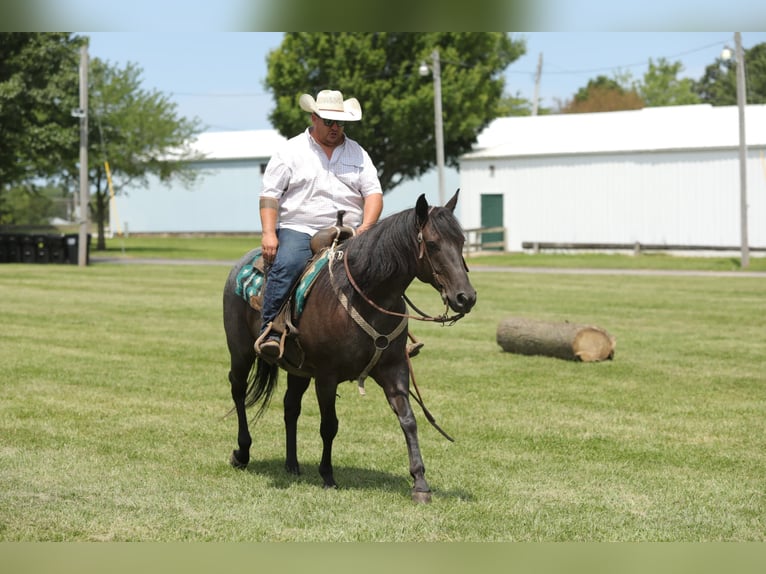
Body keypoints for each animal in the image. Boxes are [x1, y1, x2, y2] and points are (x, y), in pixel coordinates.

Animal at [219, 190, 476, 504]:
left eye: (461, 242)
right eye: (432, 243)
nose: (466, 297)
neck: (366, 295)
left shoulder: (393, 370)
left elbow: (409, 420)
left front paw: (420, 483)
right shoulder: (327, 376)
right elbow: (329, 425)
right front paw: (328, 476)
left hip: (298, 369)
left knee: (290, 407)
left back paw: (292, 464)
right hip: (241, 352)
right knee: (239, 391)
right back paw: (242, 453)